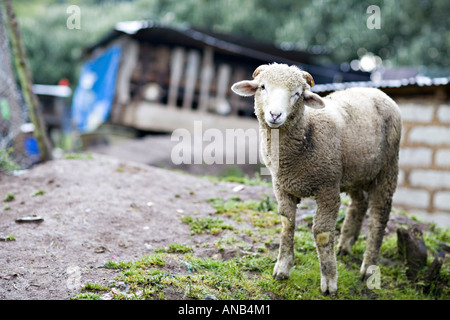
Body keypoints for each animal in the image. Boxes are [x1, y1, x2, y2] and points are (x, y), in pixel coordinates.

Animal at [232, 63, 400, 296]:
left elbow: (321, 233)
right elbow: (287, 223)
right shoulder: (281, 186)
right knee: (360, 203)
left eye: (297, 94)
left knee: (379, 216)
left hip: (387, 169)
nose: (275, 114)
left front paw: (329, 281)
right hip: (353, 172)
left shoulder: (327, 189)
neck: (307, 131)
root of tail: (377, 91)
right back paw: (345, 245)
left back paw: (368, 268)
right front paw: (282, 269)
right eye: (262, 87)